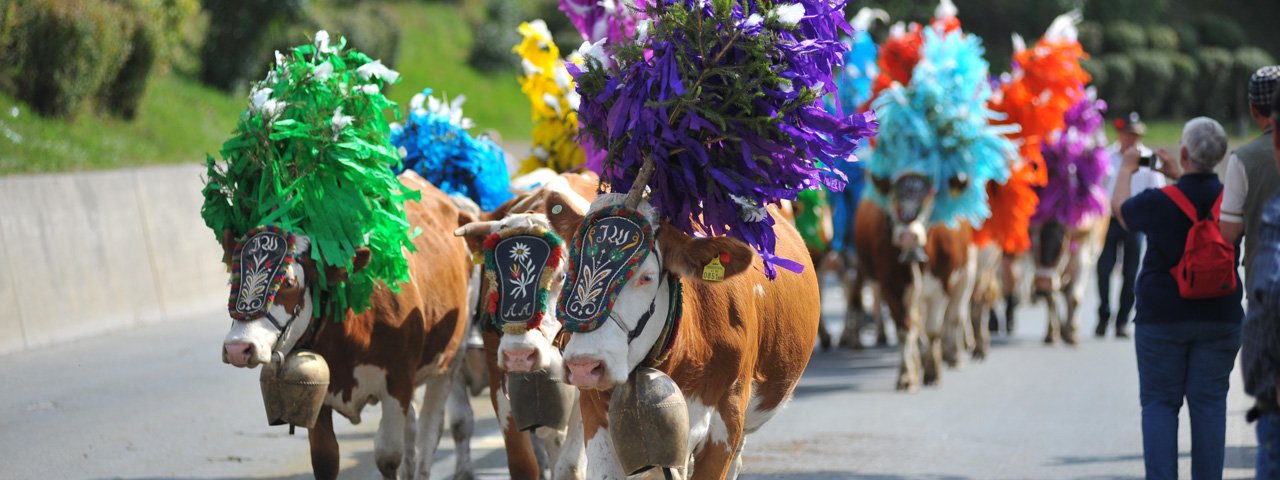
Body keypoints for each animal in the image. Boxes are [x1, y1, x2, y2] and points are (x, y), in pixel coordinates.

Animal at [220, 172, 476, 480]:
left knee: (430, 431)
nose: (238, 348)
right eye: (232, 278)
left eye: (289, 282)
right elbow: (326, 459)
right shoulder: (317, 394)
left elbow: (388, 456)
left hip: (451, 360)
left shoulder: (398, 383)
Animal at [455, 174, 599, 480]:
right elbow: (523, 463)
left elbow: (570, 466)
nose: (519, 354)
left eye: (561, 276)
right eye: (492, 278)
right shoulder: (499, 381)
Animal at [855, 172, 972, 391]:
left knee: (955, 315)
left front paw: (933, 372)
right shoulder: (890, 286)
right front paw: (906, 375)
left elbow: (934, 330)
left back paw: (954, 356)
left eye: (930, 195)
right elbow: (904, 329)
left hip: (967, 275)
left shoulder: (943, 287)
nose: (908, 235)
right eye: (894, 194)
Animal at [1024, 216, 1105, 348]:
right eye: (1036, 244)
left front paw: (1072, 333)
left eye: (1061, 245)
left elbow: (1075, 298)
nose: (1042, 283)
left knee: (1068, 296)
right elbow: (1050, 298)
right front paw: (1052, 333)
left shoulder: (1082, 258)